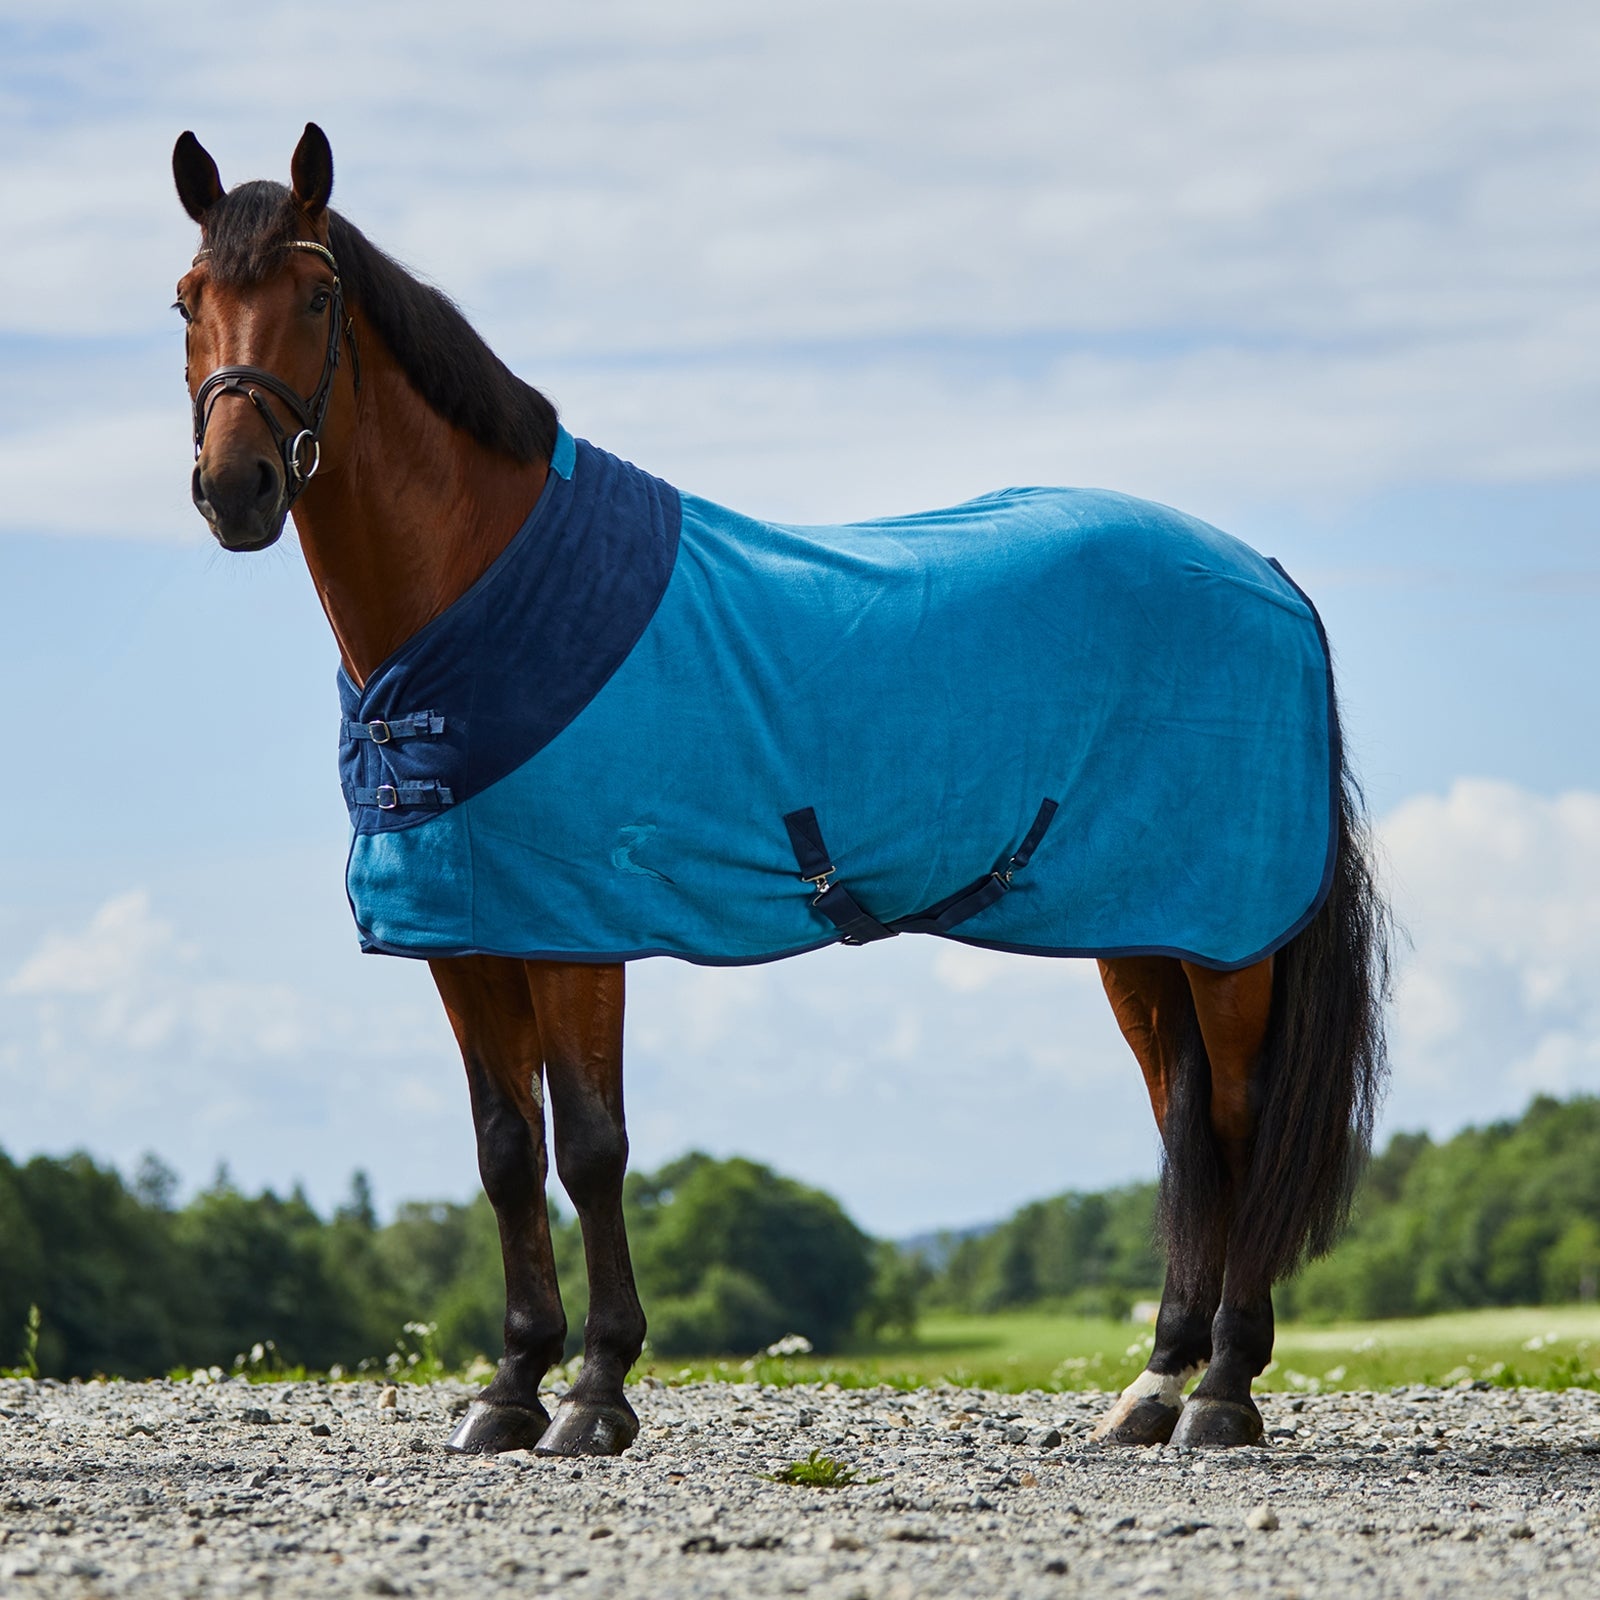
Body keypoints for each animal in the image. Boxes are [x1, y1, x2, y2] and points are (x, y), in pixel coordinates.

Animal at [170, 123, 1389, 1458]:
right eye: (187, 300)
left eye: (316, 296)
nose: (235, 489)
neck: (479, 599)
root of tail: (1262, 571)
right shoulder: (467, 935)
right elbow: (505, 1151)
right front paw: (510, 1386)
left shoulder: (577, 933)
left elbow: (590, 1147)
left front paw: (595, 1391)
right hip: (1143, 927)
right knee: (1183, 1124)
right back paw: (1155, 1384)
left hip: (1230, 939)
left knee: (1237, 1119)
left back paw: (1220, 1390)